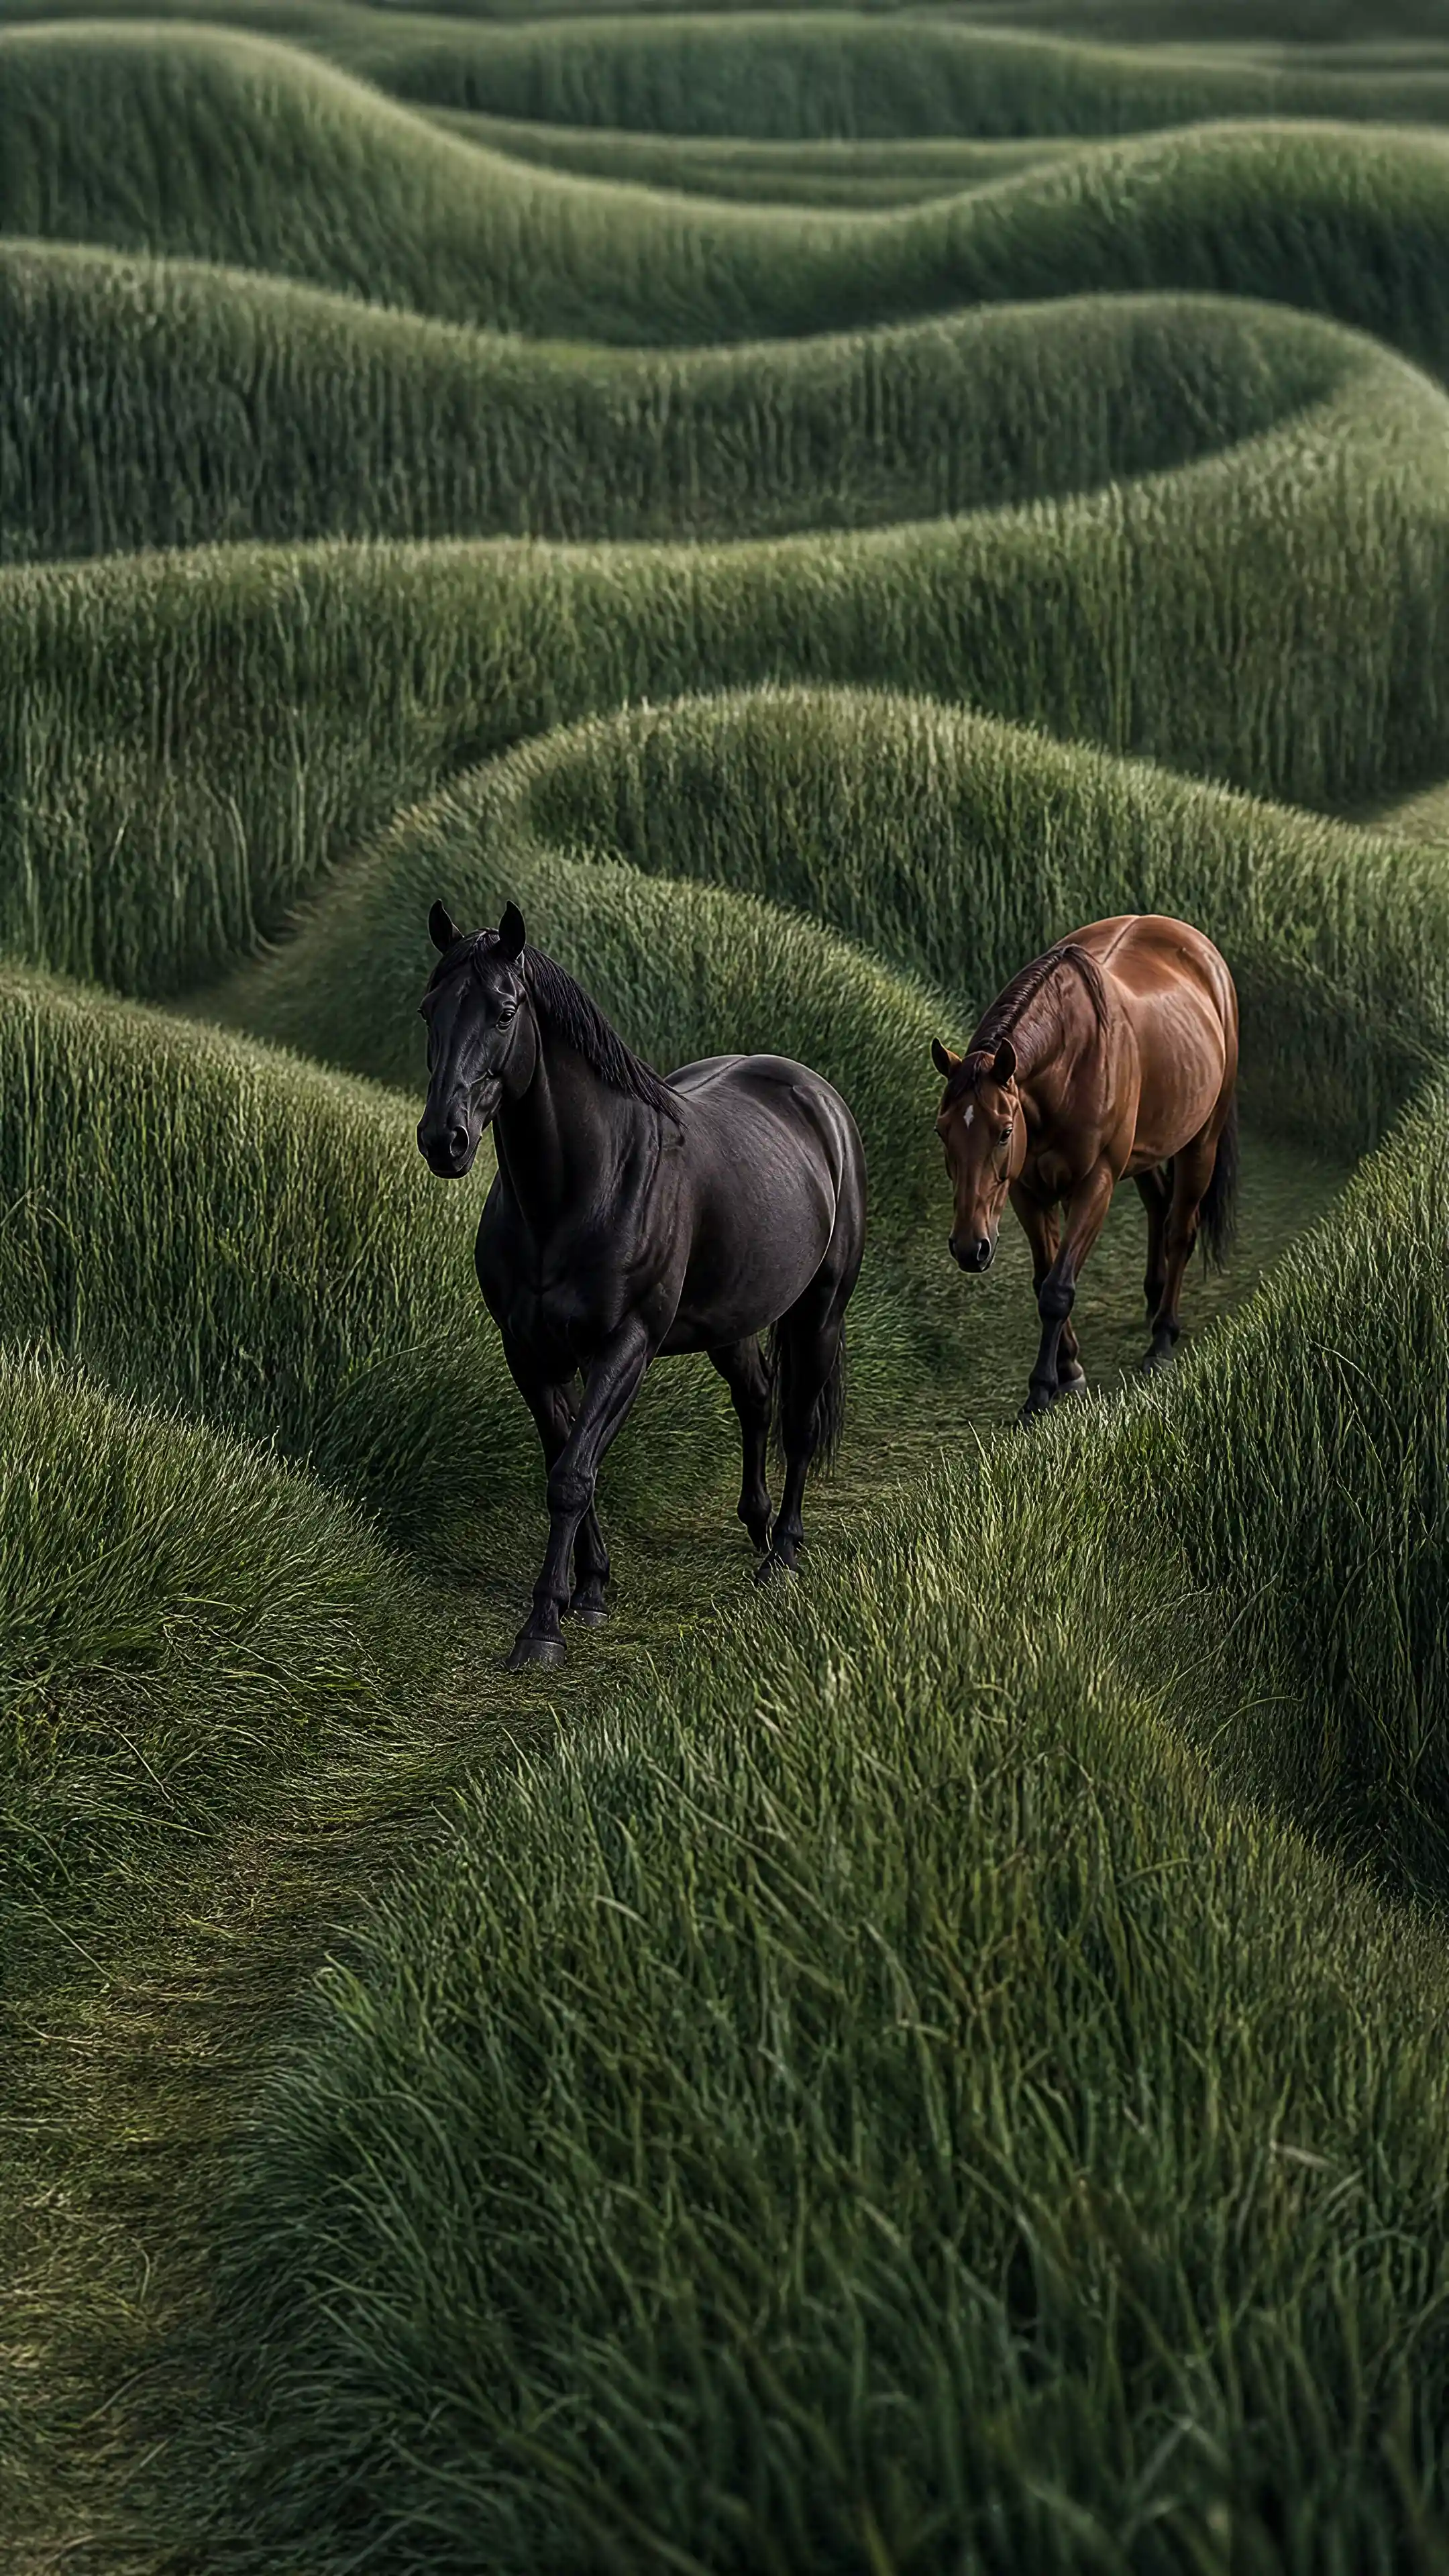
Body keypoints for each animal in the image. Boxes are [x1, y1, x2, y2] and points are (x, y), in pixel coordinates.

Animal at [417, 901, 867, 1669]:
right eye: (428, 1010)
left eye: (504, 1011)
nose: (443, 1140)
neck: (579, 1191)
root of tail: (817, 1096)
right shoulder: (529, 1354)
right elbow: (567, 1460)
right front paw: (590, 1588)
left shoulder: (625, 1346)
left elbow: (573, 1476)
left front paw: (542, 1627)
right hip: (730, 1321)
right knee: (756, 1400)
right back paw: (755, 1525)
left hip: (820, 1314)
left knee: (800, 1424)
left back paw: (781, 1554)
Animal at [930, 915, 1239, 1422]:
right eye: (942, 1132)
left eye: (1004, 1132)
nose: (969, 1248)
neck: (1069, 1063)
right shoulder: (1027, 1191)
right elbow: (1044, 1278)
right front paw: (1068, 1368)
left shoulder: (1095, 1184)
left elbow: (1058, 1288)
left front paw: (1041, 1391)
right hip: (1146, 1147)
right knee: (1158, 1204)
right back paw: (1153, 1298)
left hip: (1202, 1142)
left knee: (1180, 1231)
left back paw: (1162, 1338)